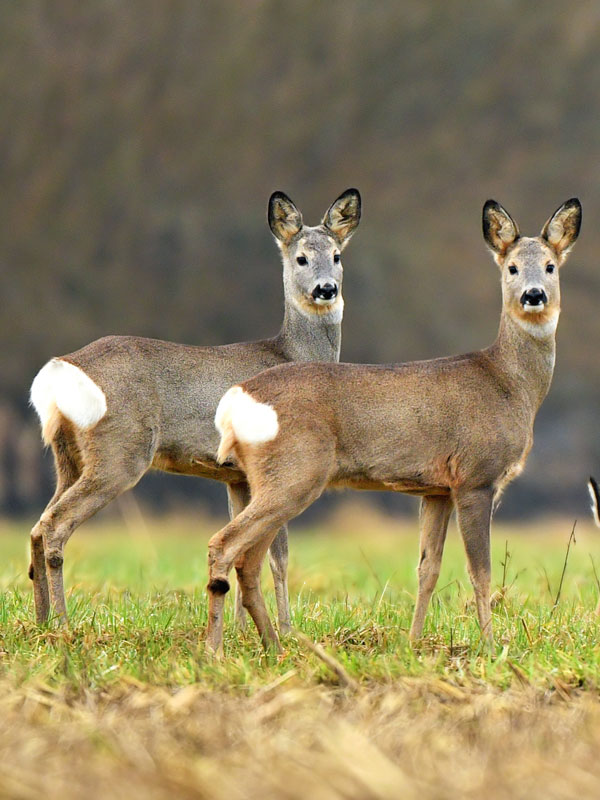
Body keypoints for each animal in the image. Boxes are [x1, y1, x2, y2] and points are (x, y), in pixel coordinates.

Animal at [28, 188, 362, 628]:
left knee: (37, 527)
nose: (326, 289)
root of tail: (59, 372)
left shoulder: (236, 476)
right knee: (54, 526)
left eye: (337, 256)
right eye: (301, 258)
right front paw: (287, 629)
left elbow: (245, 551)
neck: (291, 353)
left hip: (67, 456)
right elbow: (279, 556)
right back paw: (64, 624)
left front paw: (240, 629)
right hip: (119, 450)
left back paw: (42, 620)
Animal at [206, 198, 582, 656]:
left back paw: (274, 647)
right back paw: (216, 650)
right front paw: (491, 649)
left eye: (550, 266)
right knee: (225, 545)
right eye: (511, 267)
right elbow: (481, 572)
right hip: (295, 471)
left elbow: (428, 568)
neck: (509, 385)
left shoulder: (437, 488)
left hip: (271, 479)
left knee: (249, 559)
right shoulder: (476, 477)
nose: (534, 295)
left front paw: (414, 643)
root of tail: (236, 398)